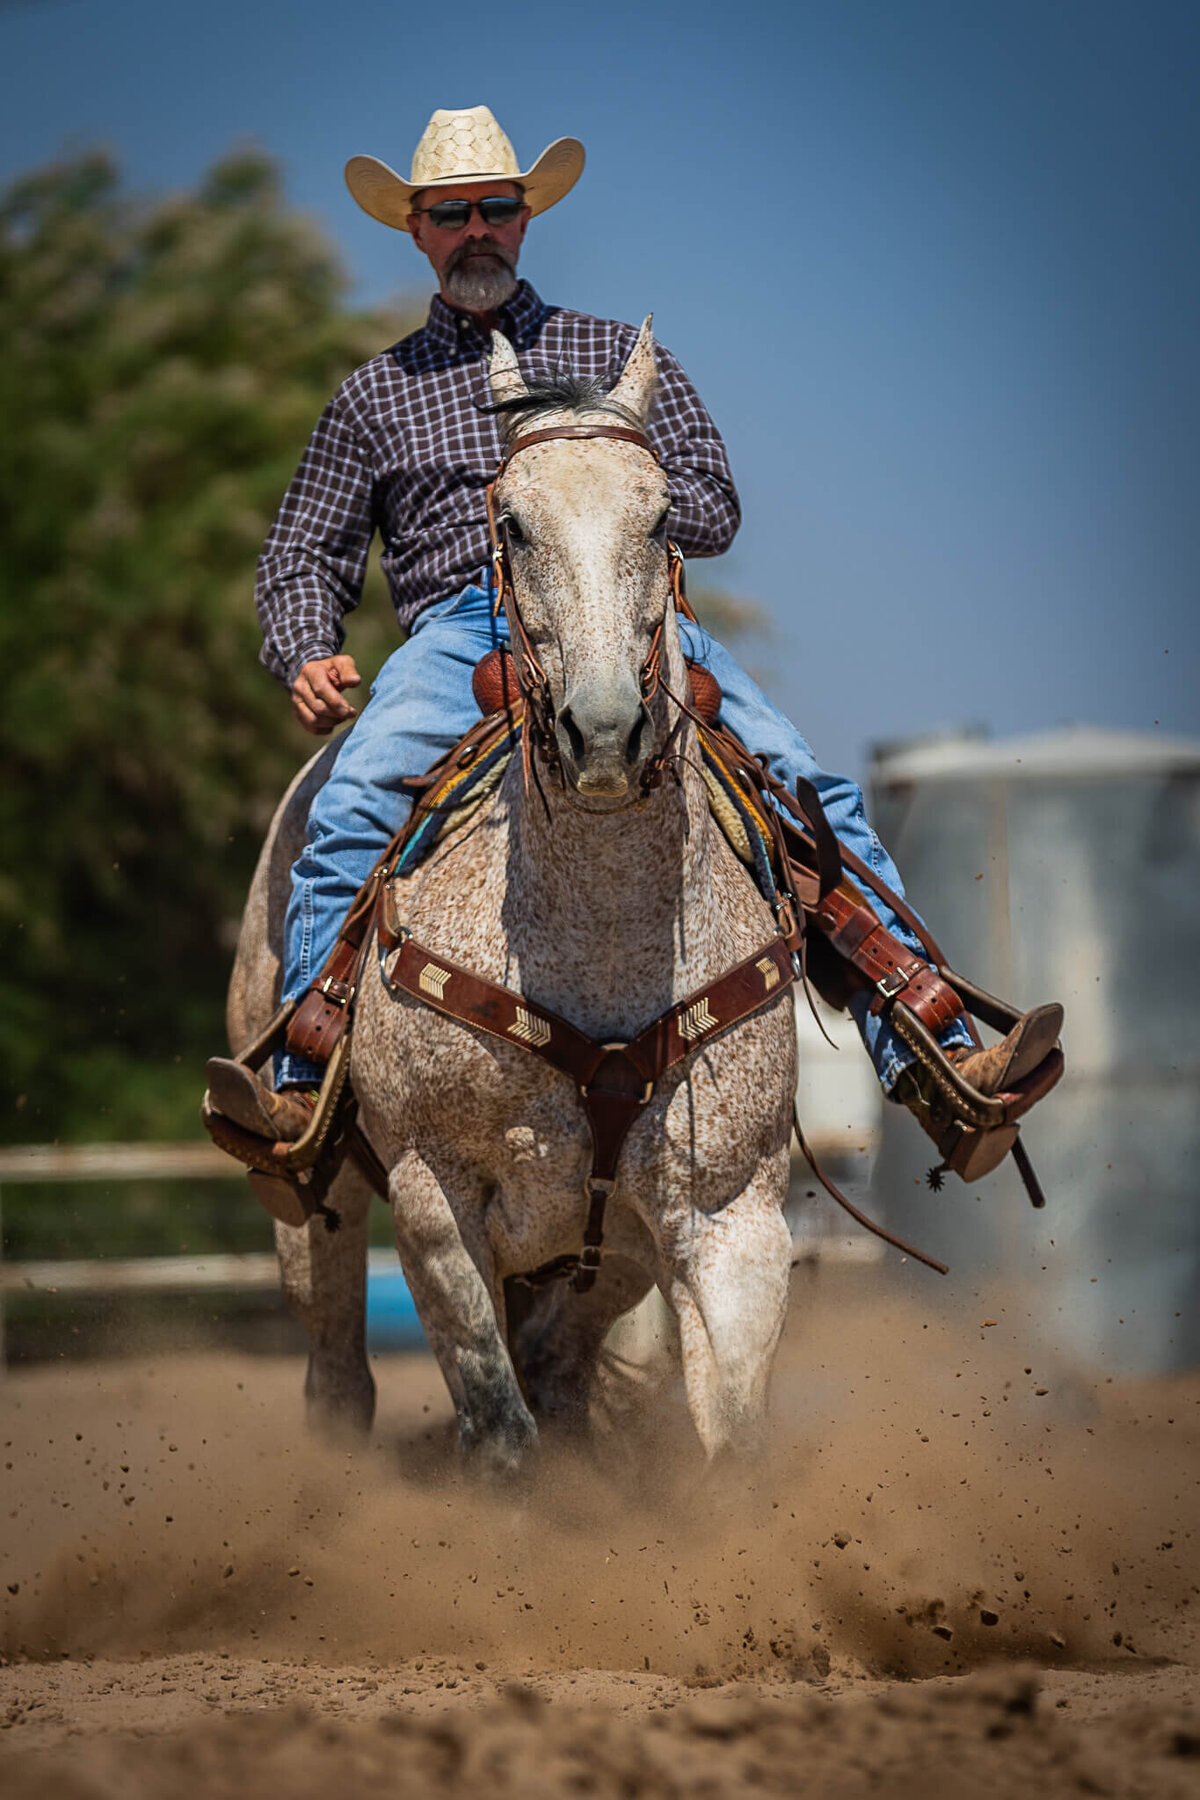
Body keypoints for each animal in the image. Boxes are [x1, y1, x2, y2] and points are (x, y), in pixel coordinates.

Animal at [230, 324, 802, 1476]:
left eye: (661, 515)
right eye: (511, 521)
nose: (604, 731)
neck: (602, 947)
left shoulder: (728, 1215)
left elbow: (730, 1443)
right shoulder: (434, 1194)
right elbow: (499, 1435)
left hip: (605, 1260)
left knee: (559, 1367)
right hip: (312, 1207)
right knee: (338, 1374)